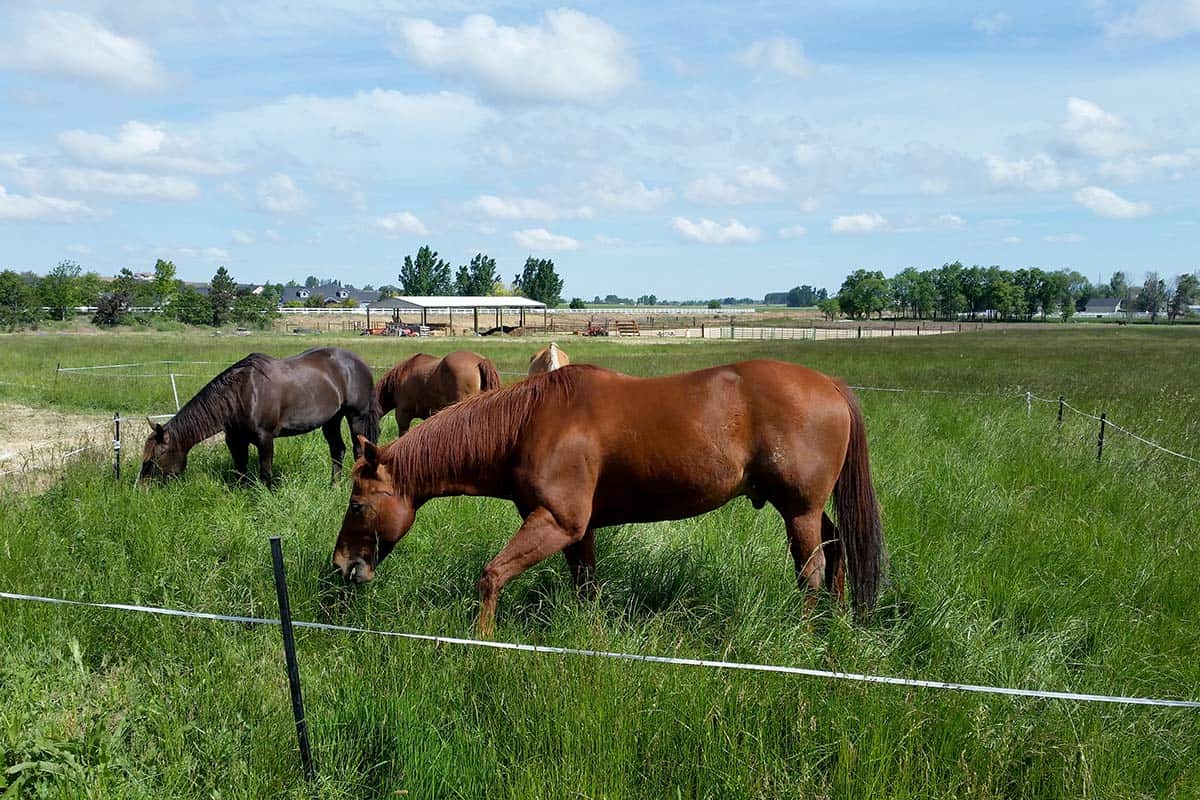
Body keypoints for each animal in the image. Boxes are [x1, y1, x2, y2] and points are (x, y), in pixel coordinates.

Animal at [139, 347, 379, 486]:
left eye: (155, 458)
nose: (142, 488)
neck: (241, 394)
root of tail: (358, 362)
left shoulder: (265, 439)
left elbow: (265, 474)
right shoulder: (235, 440)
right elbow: (241, 471)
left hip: (356, 416)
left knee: (358, 450)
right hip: (331, 420)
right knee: (337, 450)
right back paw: (333, 486)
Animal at [332, 360, 883, 637]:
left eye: (357, 506)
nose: (341, 566)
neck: (528, 422)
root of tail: (830, 385)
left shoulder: (557, 523)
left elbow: (490, 577)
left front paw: (482, 640)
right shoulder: (579, 532)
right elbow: (586, 587)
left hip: (799, 511)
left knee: (812, 571)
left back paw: (806, 637)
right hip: (806, 509)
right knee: (838, 551)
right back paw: (836, 625)